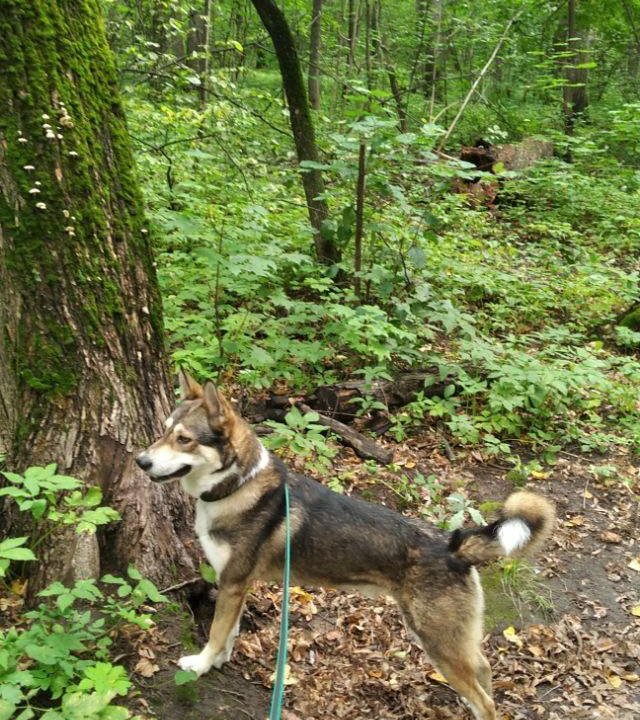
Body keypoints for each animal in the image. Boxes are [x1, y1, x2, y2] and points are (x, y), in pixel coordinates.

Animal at [136, 374, 556, 716]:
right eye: (163, 430)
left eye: (184, 439)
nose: (140, 461)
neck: (239, 485)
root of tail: (454, 544)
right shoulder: (237, 586)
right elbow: (230, 632)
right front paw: (219, 661)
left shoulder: (233, 583)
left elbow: (216, 632)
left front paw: (201, 664)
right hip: (454, 642)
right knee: (484, 674)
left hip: (438, 641)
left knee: (485, 701)